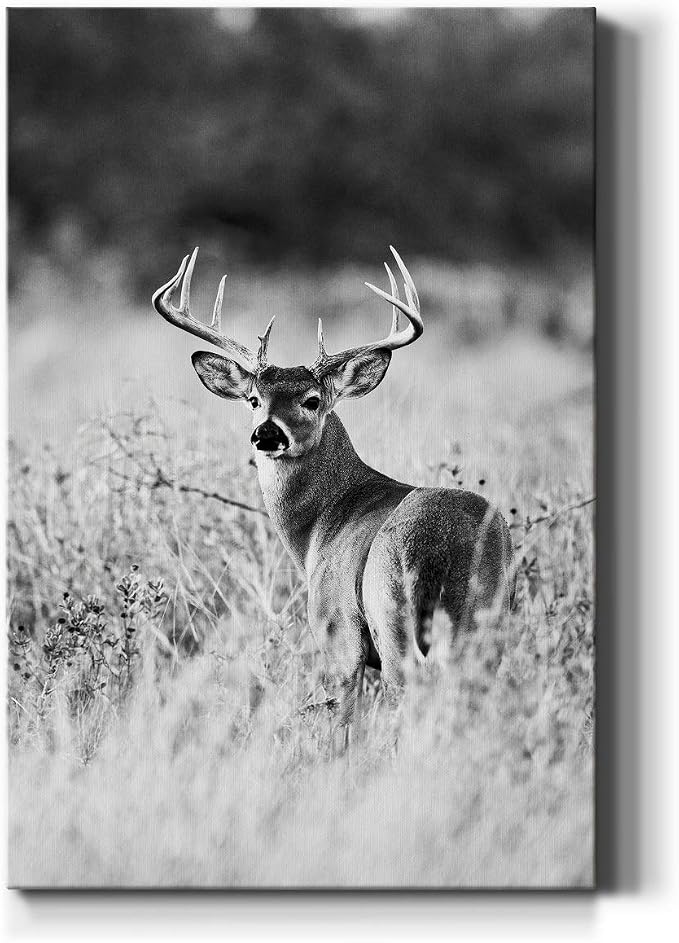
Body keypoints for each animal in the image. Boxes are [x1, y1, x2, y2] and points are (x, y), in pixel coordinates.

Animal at [153, 247, 512, 742]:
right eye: (252, 399)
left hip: (391, 615)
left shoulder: (336, 626)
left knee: (409, 693)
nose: (267, 434)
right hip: (486, 624)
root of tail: (443, 545)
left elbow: (343, 727)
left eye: (312, 399)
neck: (321, 525)